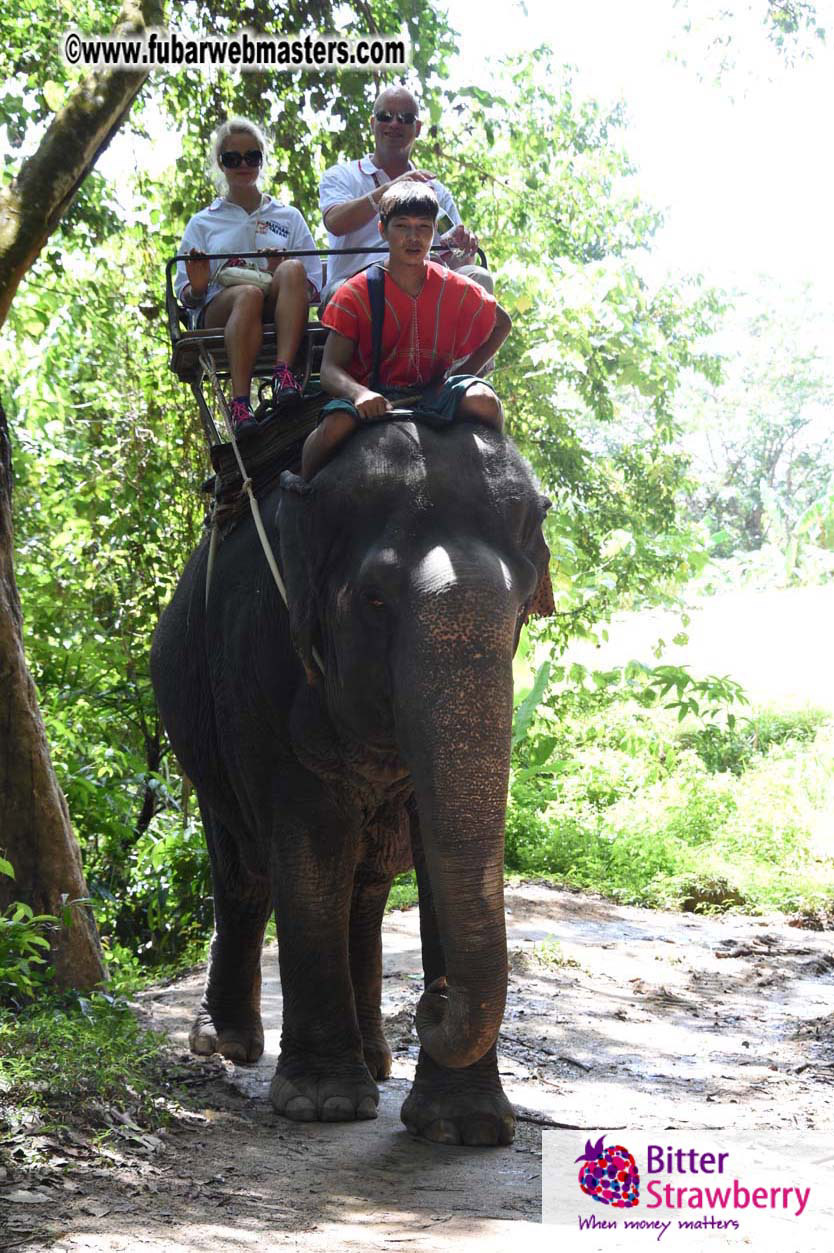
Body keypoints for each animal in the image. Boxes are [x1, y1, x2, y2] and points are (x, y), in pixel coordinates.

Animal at [150, 415, 551, 1147]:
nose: (433, 999)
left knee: (364, 890)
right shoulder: (263, 662)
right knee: (243, 871)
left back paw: (376, 1058)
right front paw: (323, 1106)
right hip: (197, 735)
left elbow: (433, 851)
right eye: (375, 598)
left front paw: (467, 1129)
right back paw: (227, 1045)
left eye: (521, 605)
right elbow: (310, 853)